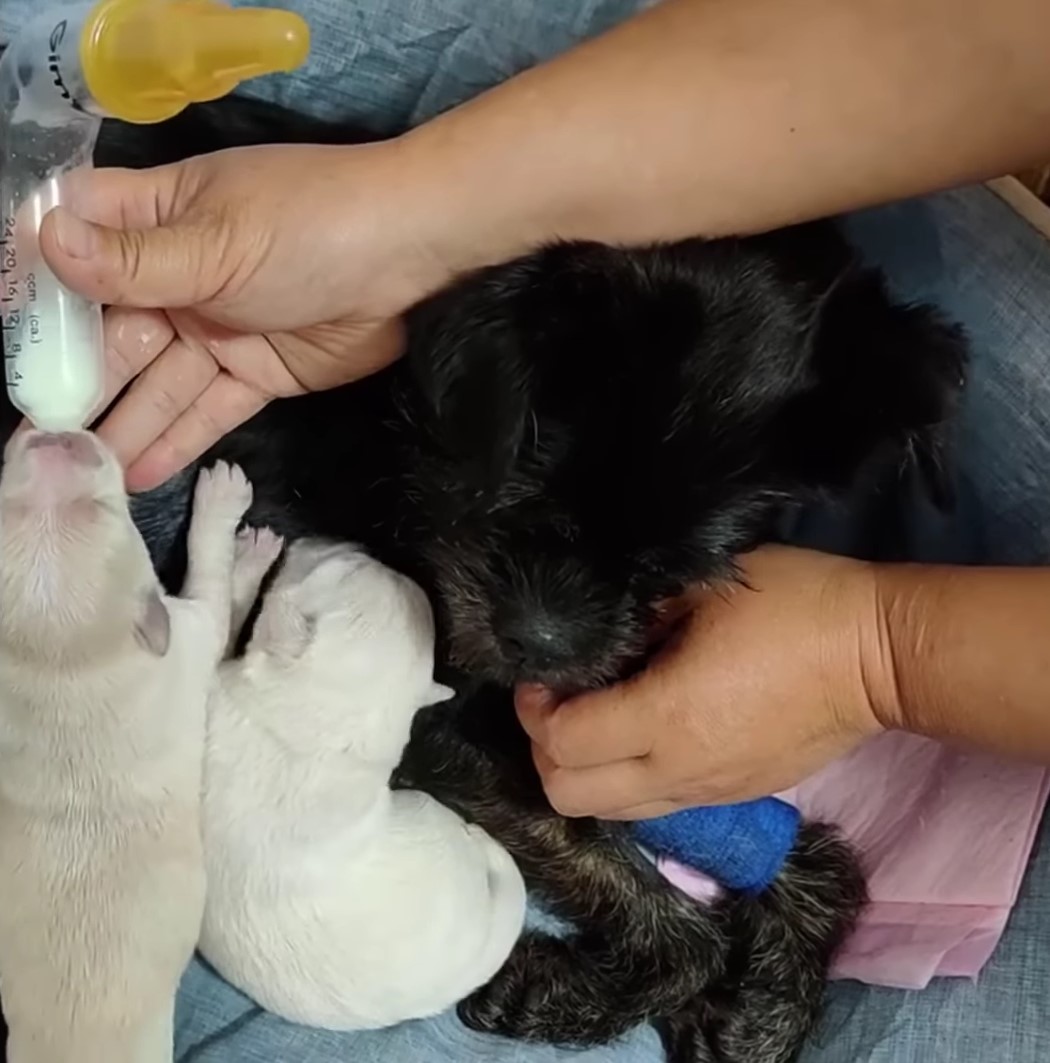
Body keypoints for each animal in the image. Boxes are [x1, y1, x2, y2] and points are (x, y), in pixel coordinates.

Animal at [0, 431, 253, 1063]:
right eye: (110, 509)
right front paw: (231, 515)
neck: (63, 677)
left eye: (1, 500)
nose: (53, 438)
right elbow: (216, 589)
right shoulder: (191, 631)